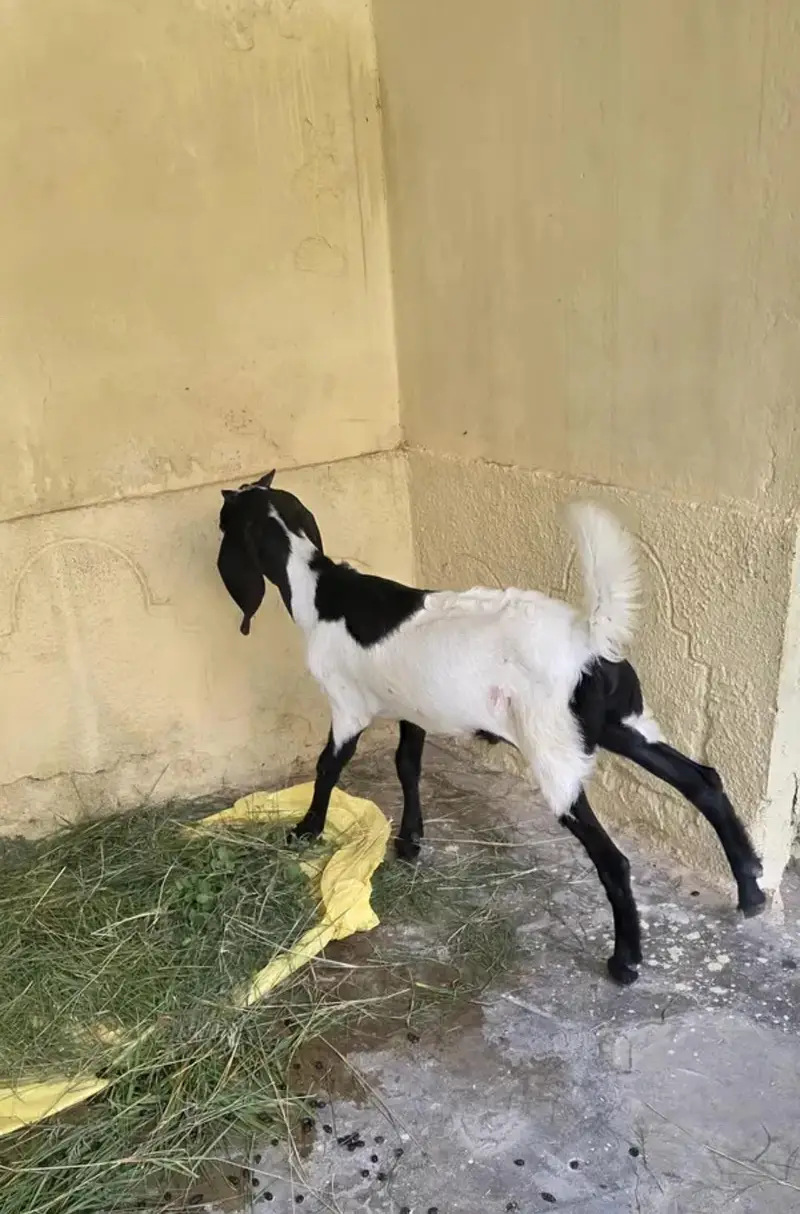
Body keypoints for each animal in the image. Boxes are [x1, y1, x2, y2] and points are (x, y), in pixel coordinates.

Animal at [216, 470, 765, 985]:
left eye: (226, 519)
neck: (322, 591)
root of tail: (588, 639)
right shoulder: (415, 709)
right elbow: (407, 765)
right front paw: (410, 841)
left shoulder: (347, 706)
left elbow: (328, 766)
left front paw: (306, 830)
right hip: (625, 724)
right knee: (702, 781)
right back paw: (751, 890)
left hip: (555, 752)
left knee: (614, 859)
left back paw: (626, 961)